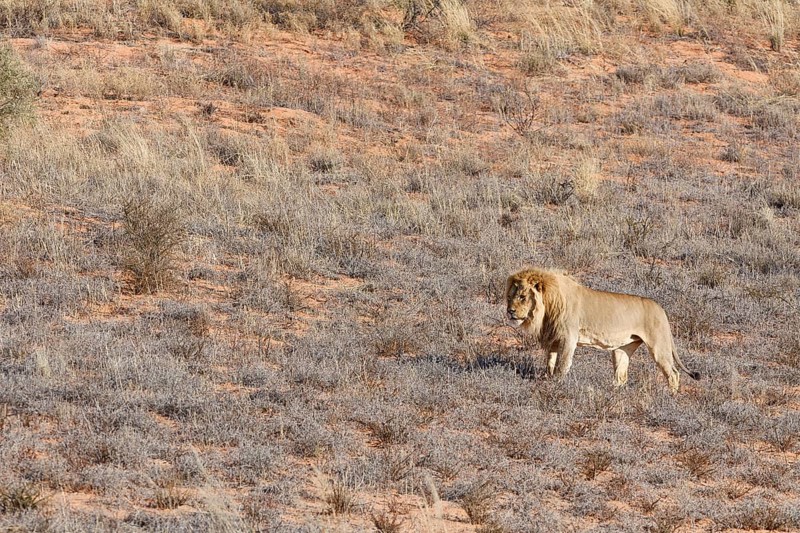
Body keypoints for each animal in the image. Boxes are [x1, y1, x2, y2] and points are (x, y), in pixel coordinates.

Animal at [506, 268, 700, 392]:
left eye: (522, 297)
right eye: (509, 297)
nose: (510, 311)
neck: (549, 305)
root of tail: (660, 308)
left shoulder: (569, 338)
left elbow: (563, 365)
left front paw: (557, 385)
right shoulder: (553, 339)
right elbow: (550, 363)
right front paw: (548, 379)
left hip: (659, 346)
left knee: (673, 373)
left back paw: (670, 397)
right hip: (622, 349)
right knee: (621, 375)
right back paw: (613, 394)